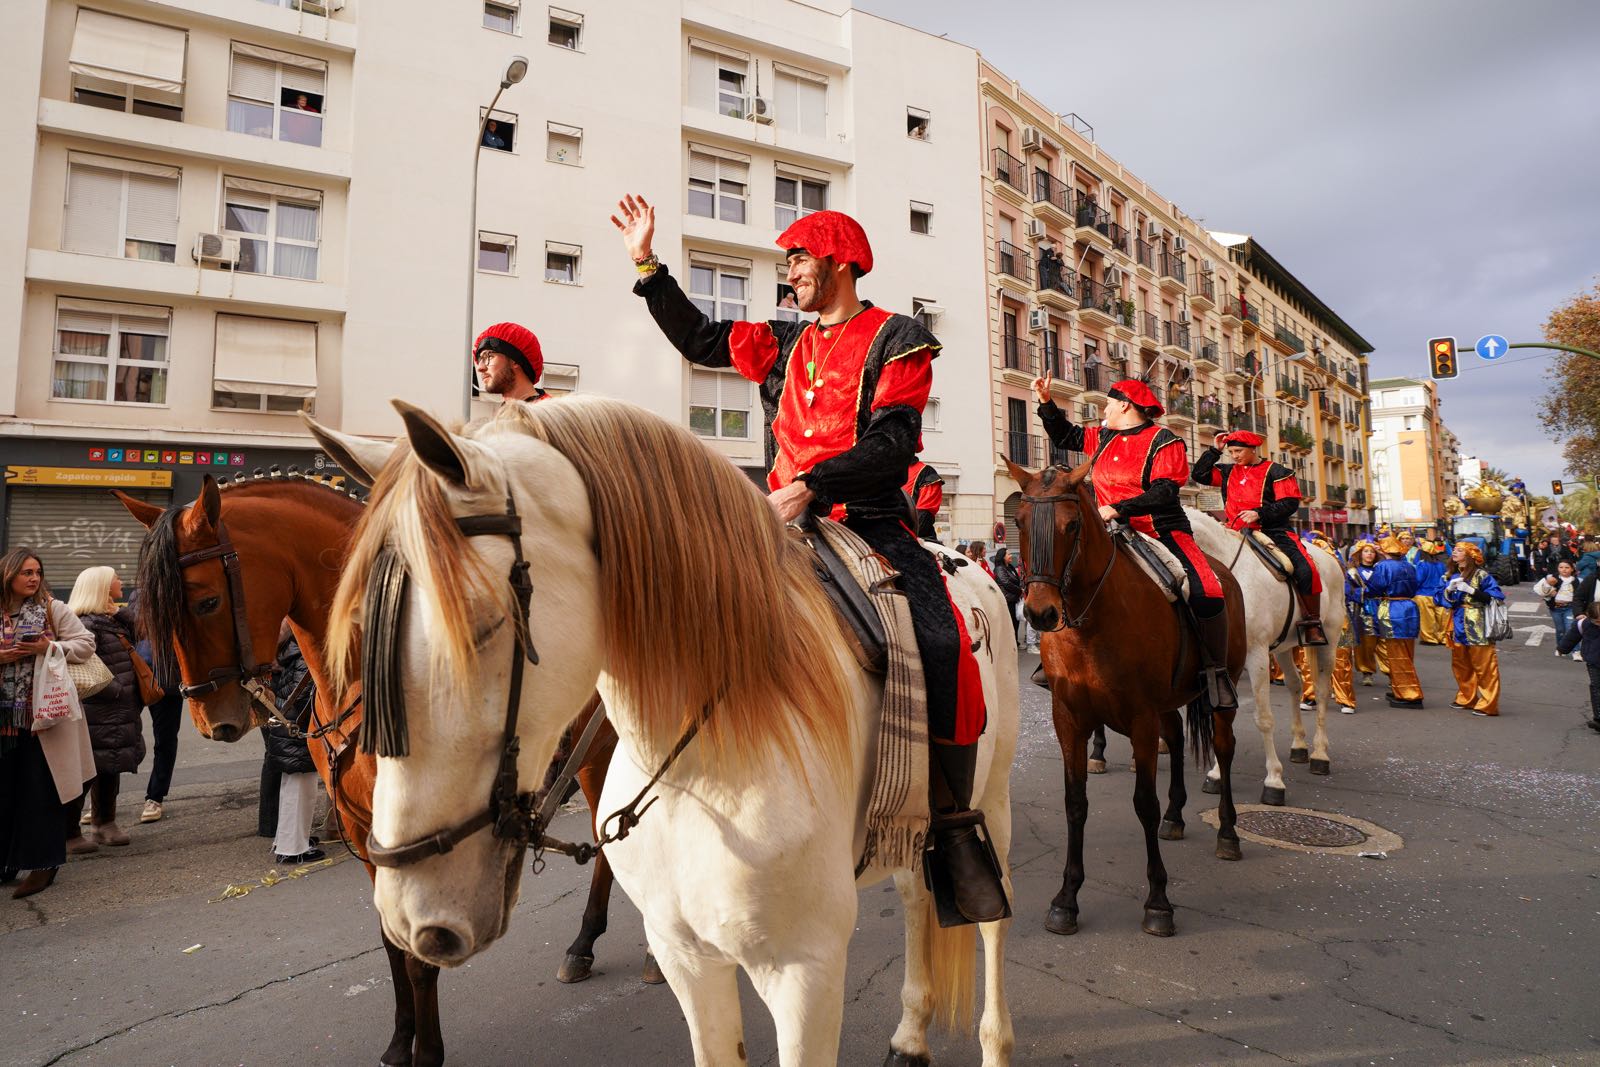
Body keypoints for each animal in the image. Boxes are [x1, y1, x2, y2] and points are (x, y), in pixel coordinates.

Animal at [114, 476, 630, 1067]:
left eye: (207, 601)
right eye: (151, 616)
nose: (211, 721)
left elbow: (419, 952)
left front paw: (426, 1053)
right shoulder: (363, 831)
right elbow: (390, 941)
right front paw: (401, 1040)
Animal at [305, 398, 1017, 1067]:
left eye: (484, 622)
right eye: (361, 628)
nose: (410, 916)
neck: (706, 766)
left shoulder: (806, 973)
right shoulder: (686, 958)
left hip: (994, 801)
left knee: (989, 918)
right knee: (916, 893)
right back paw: (911, 1033)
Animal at [1011, 460, 1248, 940]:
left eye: (1072, 525)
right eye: (1019, 522)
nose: (1040, 613)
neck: (1092, 622)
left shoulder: (1140, 718)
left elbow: (1143, 803)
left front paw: (1158, 901)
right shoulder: (1068, 718)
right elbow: (1075, 803)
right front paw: (1066, 899)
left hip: (1220, 690)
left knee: (1223, 748)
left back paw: (1228, 833)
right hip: (1165, 704)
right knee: (1176, 740)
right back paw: (1176, 816)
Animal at [1184, 511, 1344, 806]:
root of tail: (1330, 558)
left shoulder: (1256, 654)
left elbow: (1263, 718)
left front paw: (1274, 780)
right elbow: (1222, 718)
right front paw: (1216, 775)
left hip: (1329, 638)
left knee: (1322, 691)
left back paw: (1319, 755)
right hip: (1282, 648)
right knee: (1295, 684)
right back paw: (1299, 746)